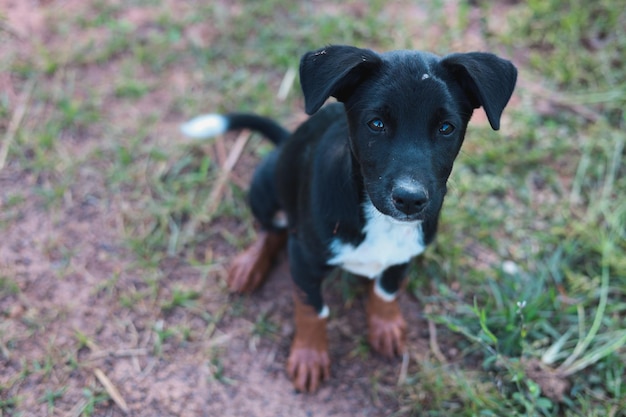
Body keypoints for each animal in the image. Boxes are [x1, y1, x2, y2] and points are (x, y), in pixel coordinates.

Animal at [182, 44, 516, 390]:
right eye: (376, 124)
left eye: (446, 128)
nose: (409, 199)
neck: (380, 220)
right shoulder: (303, 258)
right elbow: (312, 308)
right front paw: (309, 356)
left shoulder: (404, 255)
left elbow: (386, 289)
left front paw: (385, 326)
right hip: (265, 185)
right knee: (271, 229)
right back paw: (250, 266)